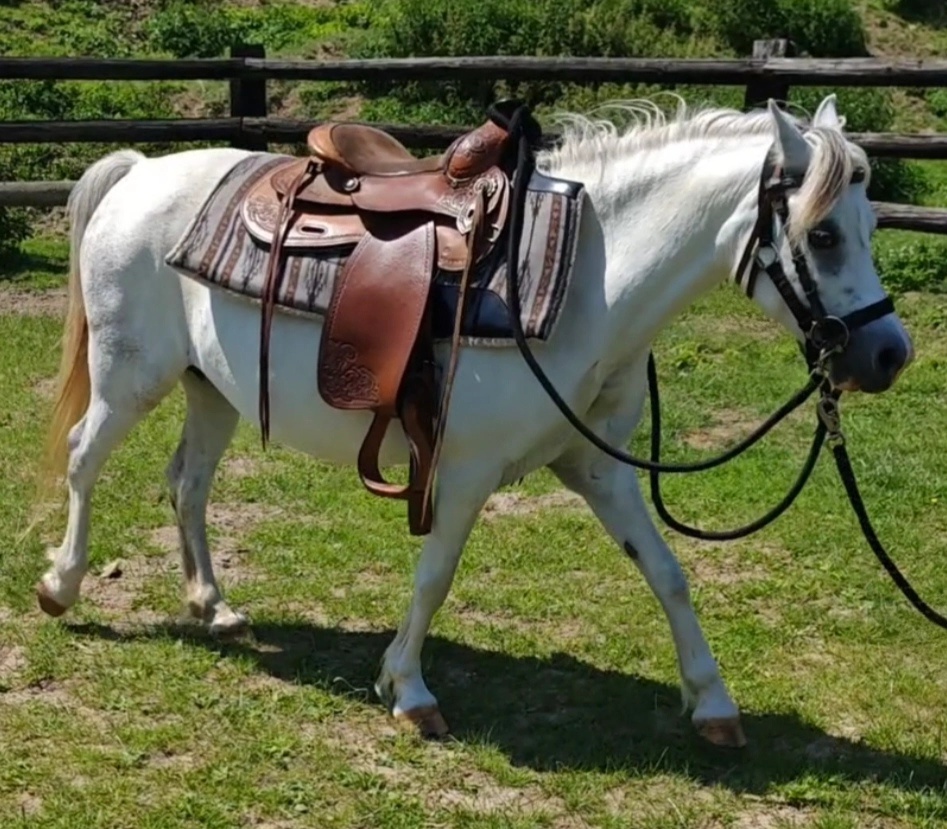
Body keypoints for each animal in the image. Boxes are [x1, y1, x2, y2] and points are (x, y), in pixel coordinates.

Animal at [32, 95, 912, 749]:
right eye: (822, 233)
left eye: (870, 228)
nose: (888, 354)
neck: (585, 282)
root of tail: (141, 171)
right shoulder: (461, 472)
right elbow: (435, 575)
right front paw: (409, 688)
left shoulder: (596, 466)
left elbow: (666, 572)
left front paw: (712, 701)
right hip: (129, 376)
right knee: (83, 461)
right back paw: (61, 585)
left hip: (210, 388)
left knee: (186, 484)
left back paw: (212, 604)